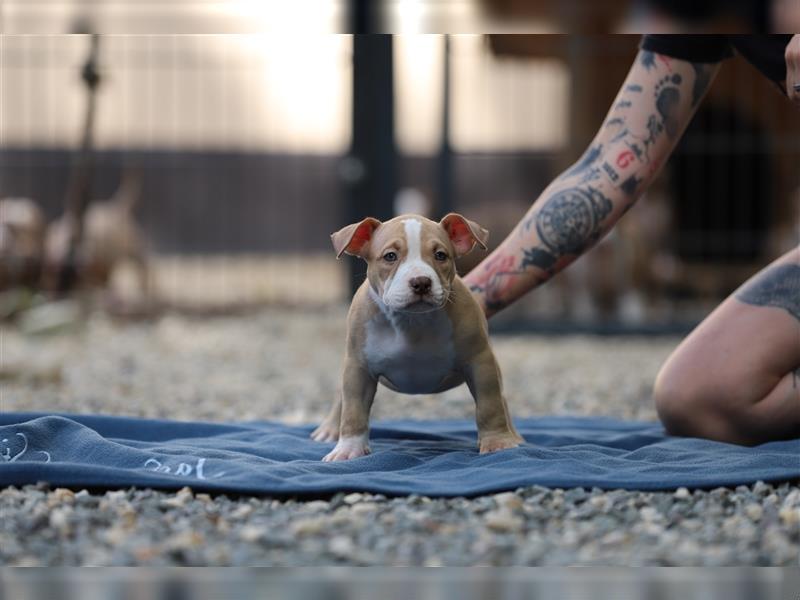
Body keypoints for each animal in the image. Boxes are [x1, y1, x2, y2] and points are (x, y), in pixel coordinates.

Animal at [312, 213, 524, 462]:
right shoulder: (358, 368)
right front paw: (349, 449)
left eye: (440, 255)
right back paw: (329, 430)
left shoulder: (480, 363)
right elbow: (353, 410)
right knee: (341, 400)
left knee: (501, 400)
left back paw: (514, 435)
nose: (421, 282)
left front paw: (498, 442)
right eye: (390, 256)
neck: (412, 321)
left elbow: (490, 406)